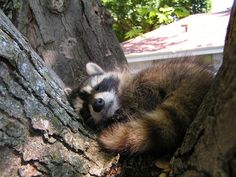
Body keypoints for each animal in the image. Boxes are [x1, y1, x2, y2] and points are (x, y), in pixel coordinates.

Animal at [68, 60, 214, 157]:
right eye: (85, 110)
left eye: (97, 87)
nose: (97, 104)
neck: (119, 103)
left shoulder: (136, 84)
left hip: (166, 74)